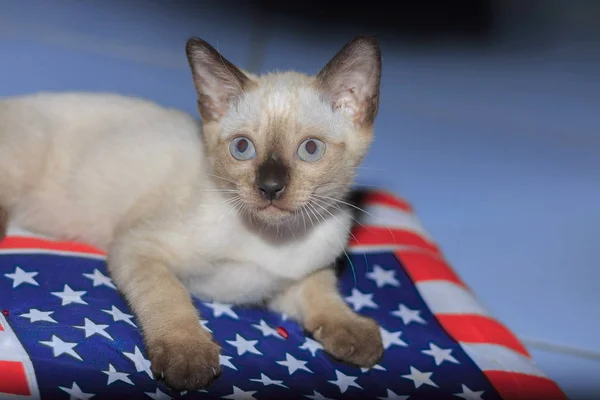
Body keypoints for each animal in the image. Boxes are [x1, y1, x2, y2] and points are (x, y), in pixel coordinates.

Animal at [0, 35, 384, 390]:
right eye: (242, 147)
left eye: (310, 149)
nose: (270, 187)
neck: (271, 238)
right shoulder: (139, 247)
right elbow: (170, 298)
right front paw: (188, 357)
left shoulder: (291, 280)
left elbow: (324, 295)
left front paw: (356, 334)